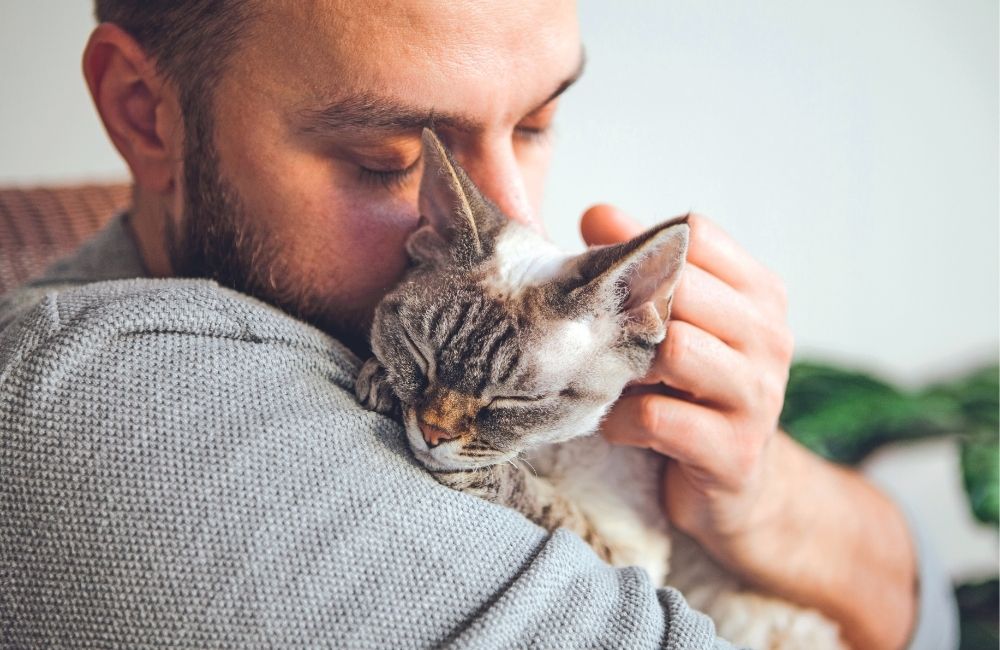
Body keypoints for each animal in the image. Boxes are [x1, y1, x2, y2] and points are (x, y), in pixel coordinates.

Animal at [358, 128, 844, 648]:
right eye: (419, 353)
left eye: (518, 400)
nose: (432, 433)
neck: (550, 450)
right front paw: (382, 381)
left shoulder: (634, 558)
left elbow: (551, 506)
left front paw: (488, 475)